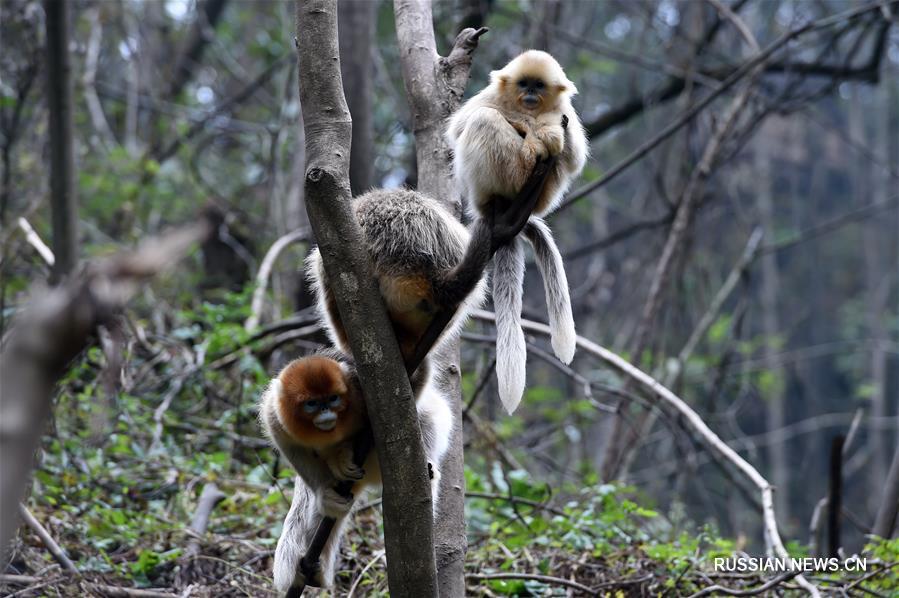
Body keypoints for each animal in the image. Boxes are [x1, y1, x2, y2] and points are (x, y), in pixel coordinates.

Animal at [446, 50, 588, 418]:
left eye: (539, 85)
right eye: (524, 84)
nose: (530, 95)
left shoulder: (565, 111)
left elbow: (574, 158)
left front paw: (542, 129)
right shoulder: (494, 96)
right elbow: (459, 127)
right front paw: (529, 126)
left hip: (543, 191)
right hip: (493, 183)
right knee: (482, 120)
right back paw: (530, 149)